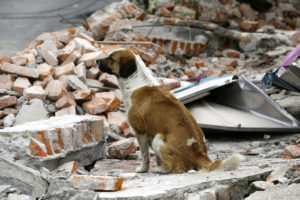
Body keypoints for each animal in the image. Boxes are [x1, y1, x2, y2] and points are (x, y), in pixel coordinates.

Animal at [97, 48, 243, 173]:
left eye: (111, 58)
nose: (97, 60)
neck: (135, 81)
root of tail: (200, 154)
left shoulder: (141, 132)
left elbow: (145, 156)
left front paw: (143, 169)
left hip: (158, 139)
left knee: (173, 167)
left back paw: (159, 170)